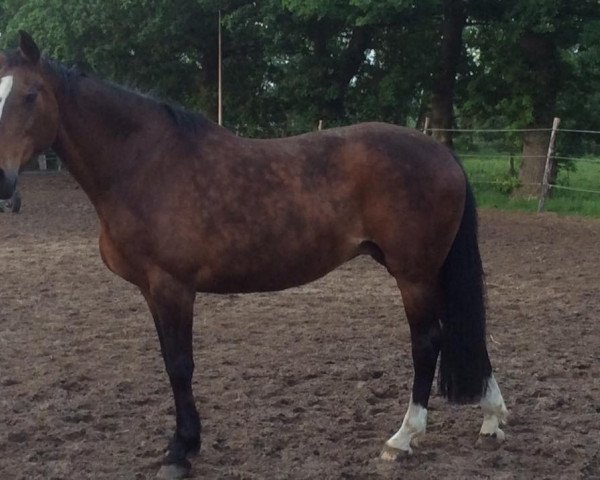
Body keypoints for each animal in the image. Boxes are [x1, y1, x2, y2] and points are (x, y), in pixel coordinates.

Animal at [0, 31, 506, 478]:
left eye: (30, 94)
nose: (3, 183)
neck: (144, 165)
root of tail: (442, 153)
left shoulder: (172, 287)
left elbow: (179, 365)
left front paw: (181, 451)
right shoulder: (152, 290)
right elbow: (170, 361)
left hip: (413, 273)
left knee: (428, 341)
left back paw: (403, 437)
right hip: (424, 269)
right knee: (461, 331)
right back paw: (491, 418)